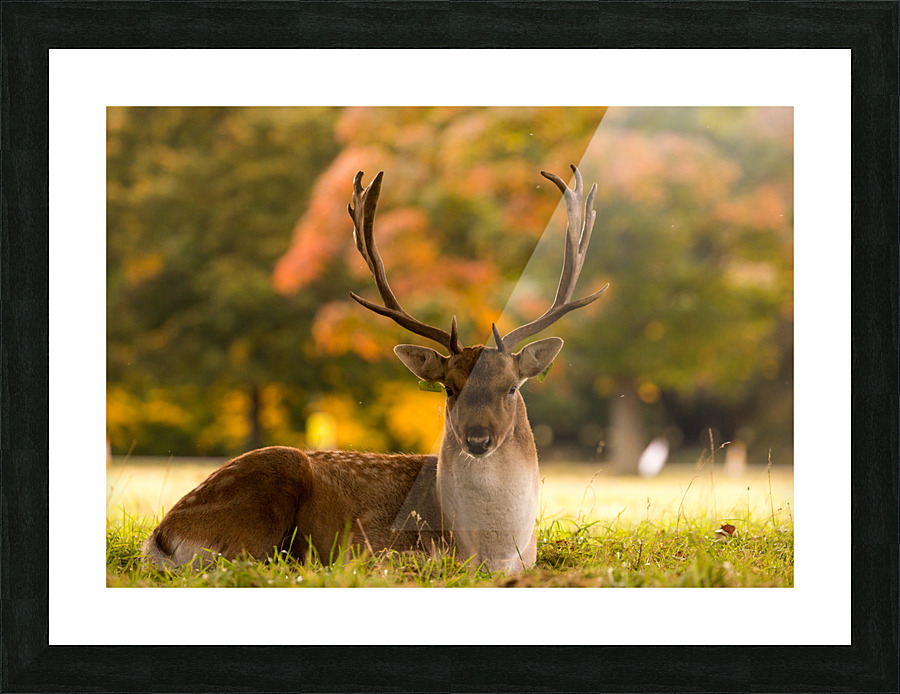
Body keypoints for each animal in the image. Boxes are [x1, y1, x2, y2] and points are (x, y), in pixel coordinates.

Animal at [142, 165, 607, 575]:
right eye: (449, 387)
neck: (490, 551)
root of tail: (161, 536)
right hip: (263, 497)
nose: (478, 438)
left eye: (511, 387)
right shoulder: (374, 544)